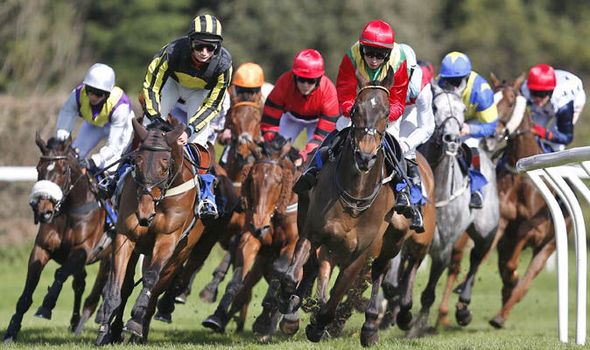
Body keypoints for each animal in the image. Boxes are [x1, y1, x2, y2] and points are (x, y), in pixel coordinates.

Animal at [2, 133, 111, 342]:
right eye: (38, 168)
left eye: (62, 171)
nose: (43, 212)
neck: (69, 210)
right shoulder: (42, 248)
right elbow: (27, 291)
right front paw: (11, 331)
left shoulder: (82, 250)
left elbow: (60, 274)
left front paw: (46, 306)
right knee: (80, 283)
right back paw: (75, 322)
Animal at [94, 118, 208, 344]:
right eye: (136, 162)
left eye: (165, 166)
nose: (144, 213)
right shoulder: (127, 237)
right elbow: (118, 283)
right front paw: (105, 330)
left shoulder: (167, 240)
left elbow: (151, 278)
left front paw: (136, 320)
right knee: (128, 284)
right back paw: (117, 330)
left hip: (178, 255)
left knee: (156, 288)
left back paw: (140, 329)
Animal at [205, 135, 306, 340]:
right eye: (252, 179)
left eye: (278, 181)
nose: (260, 226)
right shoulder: (251, 239)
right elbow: (237, 279)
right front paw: (217, 316)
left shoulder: (292, 243)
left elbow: (281, 272)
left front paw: (266, 320)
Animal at [278, 69, 434, 346]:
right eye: (354, 110)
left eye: (386, 113)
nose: (365, 156)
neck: (356, 195)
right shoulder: (312, 232)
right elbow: (292, 275)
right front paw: (290, 309)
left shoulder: (361, 253)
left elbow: (338, 294)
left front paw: (319, 325)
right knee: (311, 268)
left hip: (394, 240)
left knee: (381, 271)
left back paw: (371, 327)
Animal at [410, 82, 502, 340]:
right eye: (434, 106)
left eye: (462, 109)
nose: (452, 138)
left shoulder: (443, 247)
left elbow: (429, 292)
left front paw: (417, 325)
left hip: (486, 231)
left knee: (476, 259)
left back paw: (463, 307)